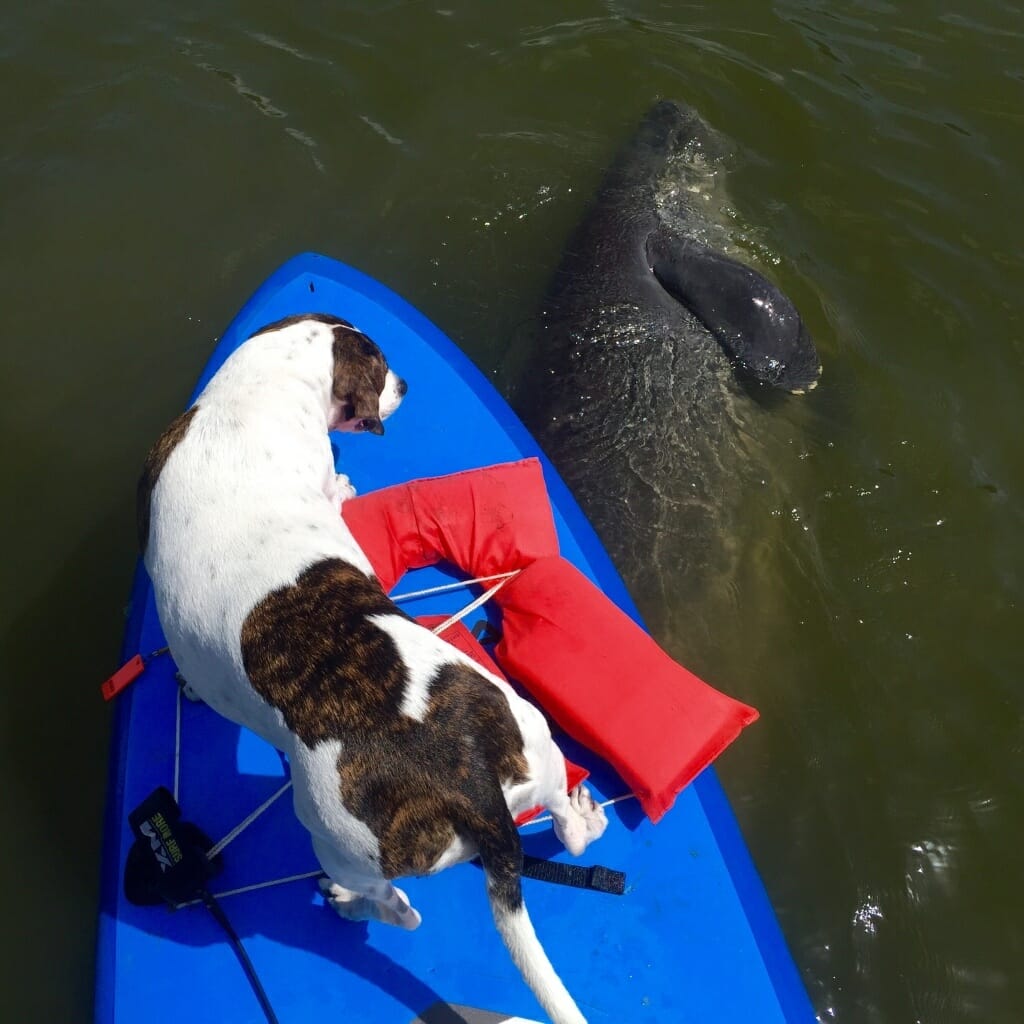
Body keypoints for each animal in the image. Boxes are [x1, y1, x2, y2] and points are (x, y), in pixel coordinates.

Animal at [133, 313, 602, 1024]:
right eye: (383, 374)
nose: (407, 385)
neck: (252, 397)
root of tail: (470, 784)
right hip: (530, 738)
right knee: (564, 827)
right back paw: (583, 817)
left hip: (334, 836)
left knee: (399, 912)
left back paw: (352, 905)